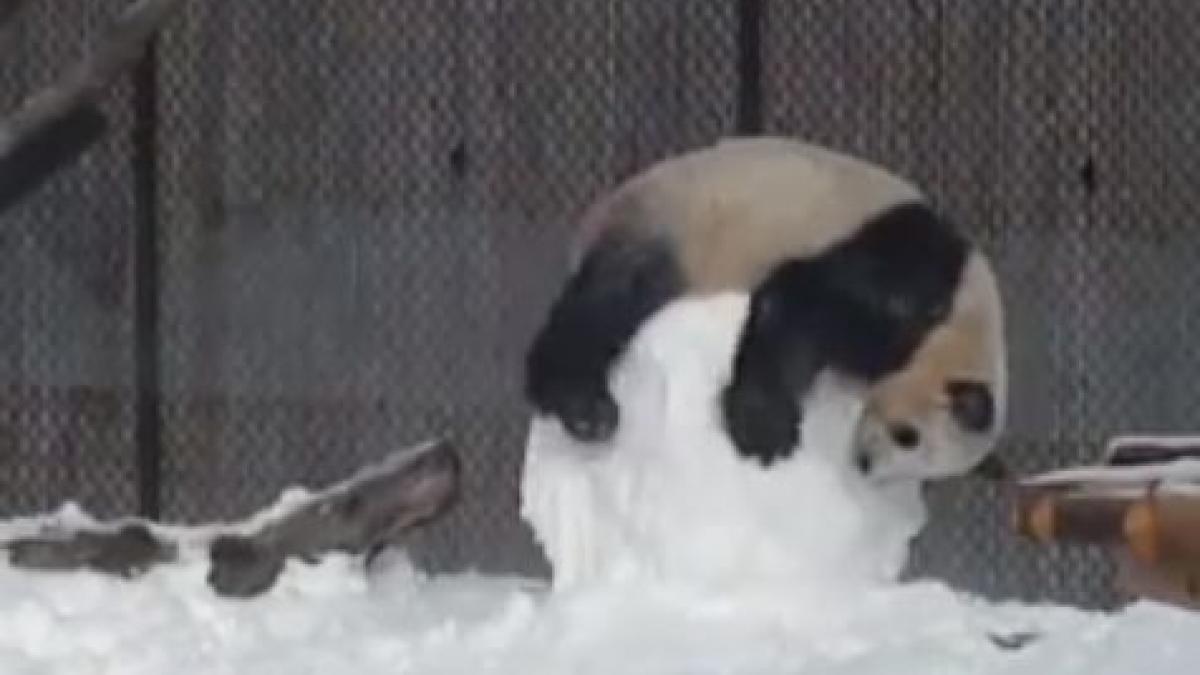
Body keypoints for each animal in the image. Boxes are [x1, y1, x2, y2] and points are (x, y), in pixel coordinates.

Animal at [524, 135, 1006, 479]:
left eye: (917, 468)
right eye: (908, 437)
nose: (865, 465)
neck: (961, 323)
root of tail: (595, 219)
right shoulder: (906, 269)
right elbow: (806, 304)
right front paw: (766, 432)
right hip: (673, 223)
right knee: (610, 300)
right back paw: (583, 406)